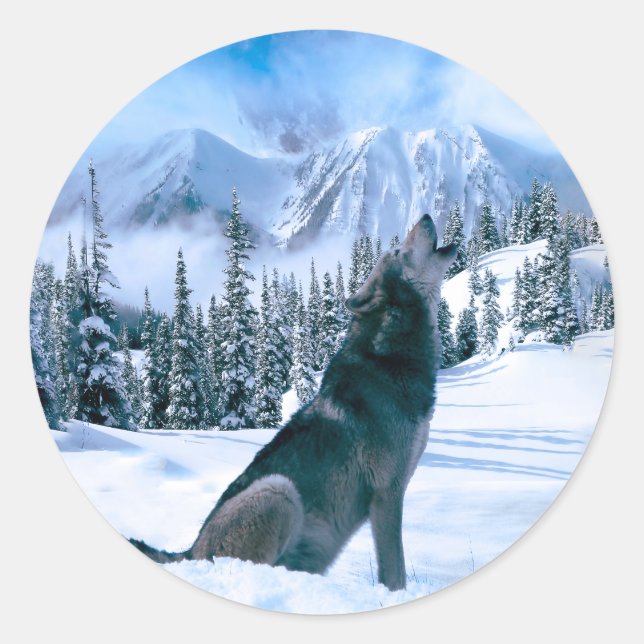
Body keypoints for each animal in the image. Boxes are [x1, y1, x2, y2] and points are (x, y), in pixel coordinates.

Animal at [130, 214, 456, 591]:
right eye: (398, 250)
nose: (426, 217)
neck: (391, 357)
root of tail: (189, 550)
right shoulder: (387, 493)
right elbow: (396, 574)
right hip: (279, 491)